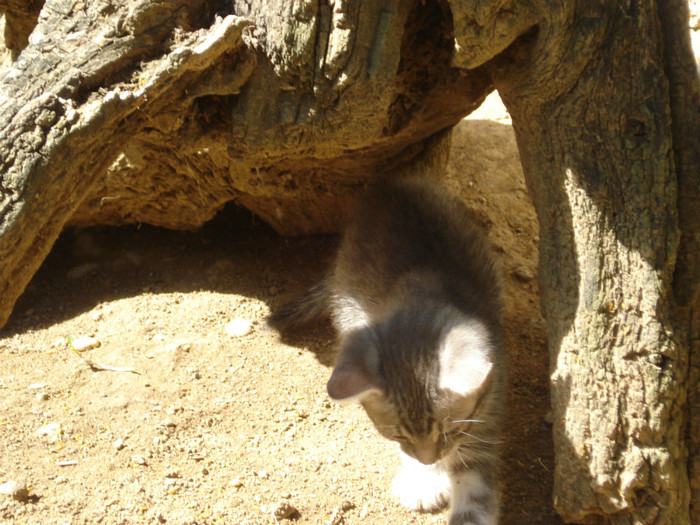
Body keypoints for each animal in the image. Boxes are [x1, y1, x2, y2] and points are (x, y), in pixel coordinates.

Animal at [266, 176, 504, 524]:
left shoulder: (486, 415)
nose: (428, 458)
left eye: (450, 430)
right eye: (398, 436)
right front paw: (424, 477)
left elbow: (474, 488)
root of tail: (391, 184)